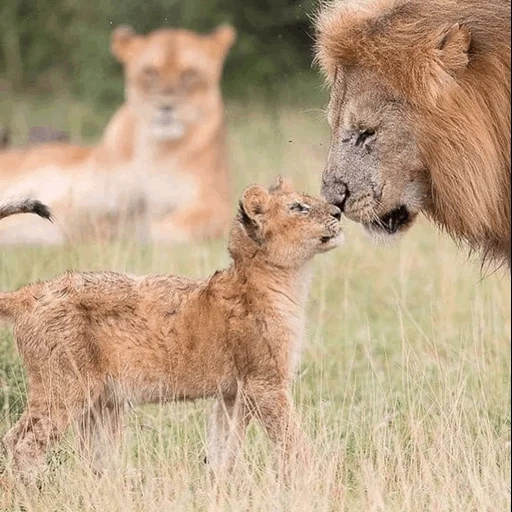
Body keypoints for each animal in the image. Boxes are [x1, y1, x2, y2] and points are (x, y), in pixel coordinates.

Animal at [0, 25, 235, 245]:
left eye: (190, 74)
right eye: (150, 72)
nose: (166, 106)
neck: (158, 150)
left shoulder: (214, 204)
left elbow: (171, 227)